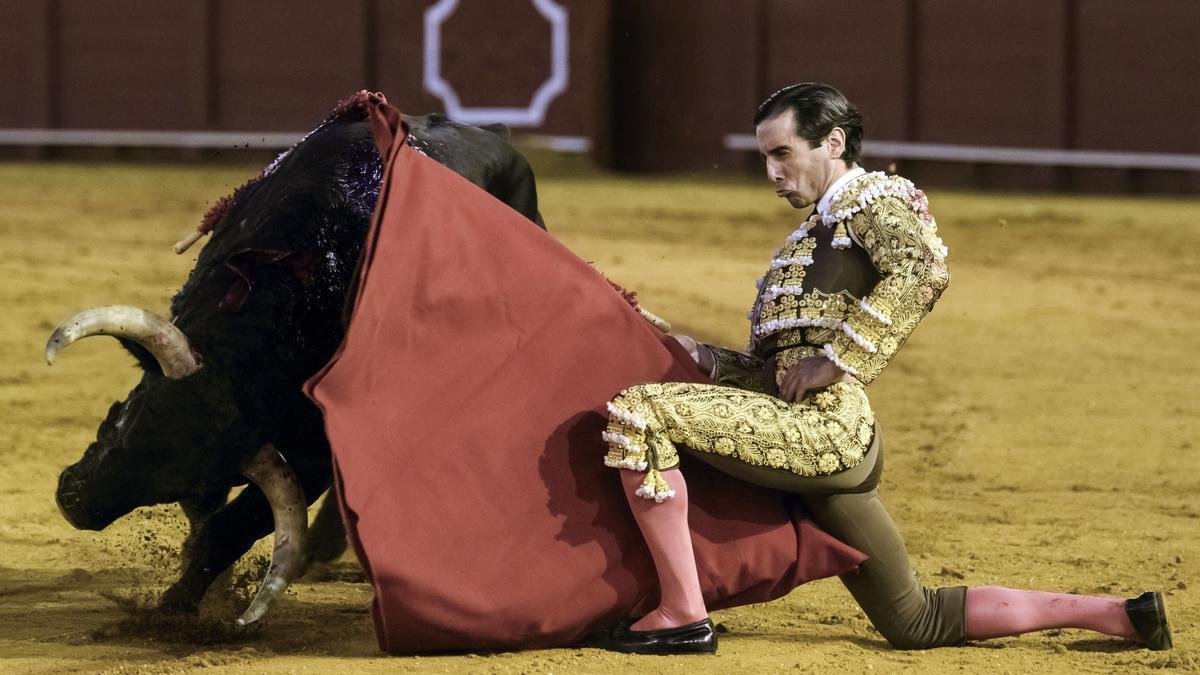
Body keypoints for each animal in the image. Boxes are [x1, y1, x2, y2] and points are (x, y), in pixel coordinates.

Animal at [44, 98, 547, 619]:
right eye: (130, 416)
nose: (74, 503)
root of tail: (495, 135)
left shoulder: (311, 451)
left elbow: (230, 528)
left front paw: (175, 609)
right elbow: (209, 517)